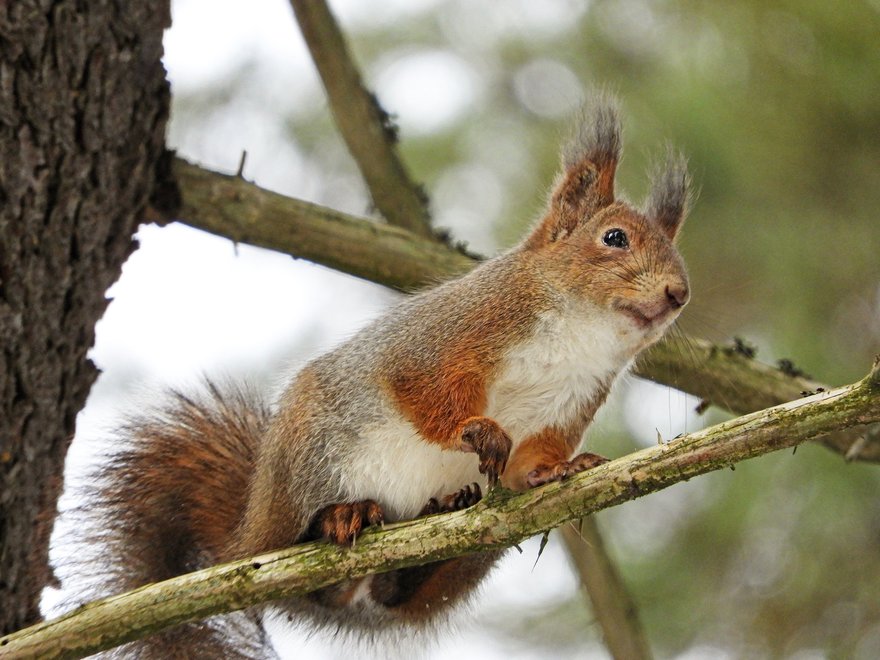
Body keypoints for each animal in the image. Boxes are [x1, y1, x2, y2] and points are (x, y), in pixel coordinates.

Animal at [79, 95, 692, 656]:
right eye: (614, 238)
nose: (678, 294)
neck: (579, 334)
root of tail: (245, 535)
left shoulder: (570, 405)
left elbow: (534, 459)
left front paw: (560, 468)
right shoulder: (444, 340)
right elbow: (425, 396)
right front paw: (475, 430)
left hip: (473, 552)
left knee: (396, 592)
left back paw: (437, 525)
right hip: (310, 460)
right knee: (309, 570)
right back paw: (341, 518)